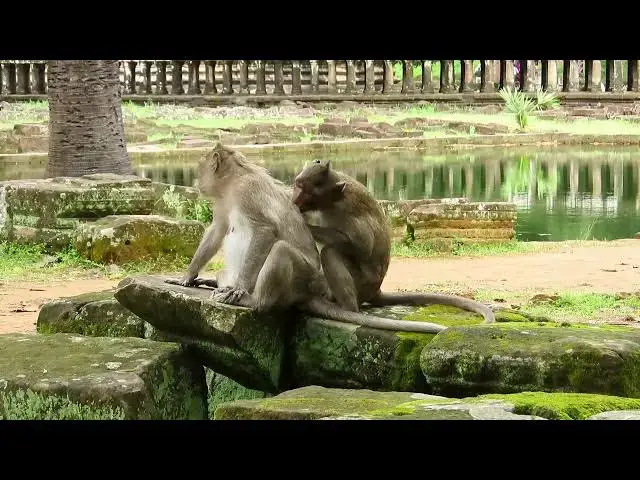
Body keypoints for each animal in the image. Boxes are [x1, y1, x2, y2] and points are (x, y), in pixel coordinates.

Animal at [165, 143, 448, 334]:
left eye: (200, 168)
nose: (197, 182)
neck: (233, 182)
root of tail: (306, 292)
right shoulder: (224, 201)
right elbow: (218, 229)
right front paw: (187, 277)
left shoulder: (248, 193)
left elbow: (265, 230)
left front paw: (239, 290)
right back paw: (216, 282)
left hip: (298, 279)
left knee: (281, 251)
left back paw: (253, 300)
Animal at [291, 158, 496, 324]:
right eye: (297, 184)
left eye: (304, 189)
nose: (294, 199)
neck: (335, 199)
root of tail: (376, 290)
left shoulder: (348, 208)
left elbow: (363, 247)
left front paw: (307, 225)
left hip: (362, 283)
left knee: (330, 252)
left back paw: (347, 309)